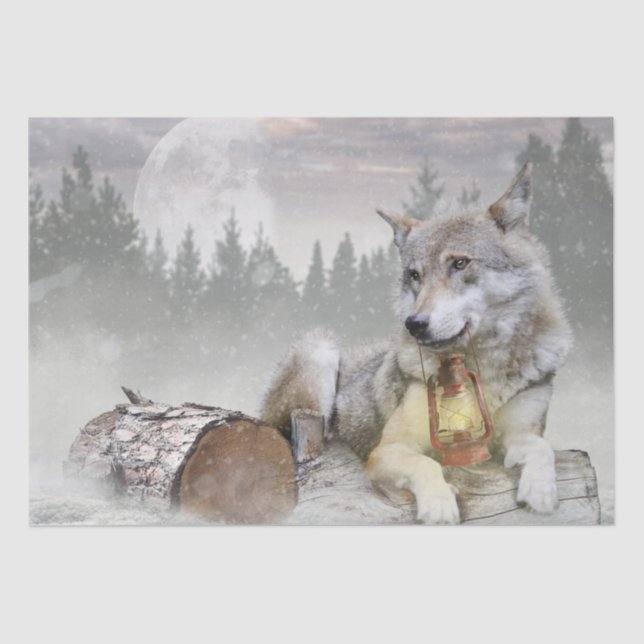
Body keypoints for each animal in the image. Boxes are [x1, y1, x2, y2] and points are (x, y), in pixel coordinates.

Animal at [261, 163, 572, 524]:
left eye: (459, 263)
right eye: (414, 275)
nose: (415, 324)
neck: (481, 369)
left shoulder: (520, 434)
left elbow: (542, 448)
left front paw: (541, 492)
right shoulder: (389, 449)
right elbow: (426, 463)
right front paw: (439, 506)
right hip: (320, 349)